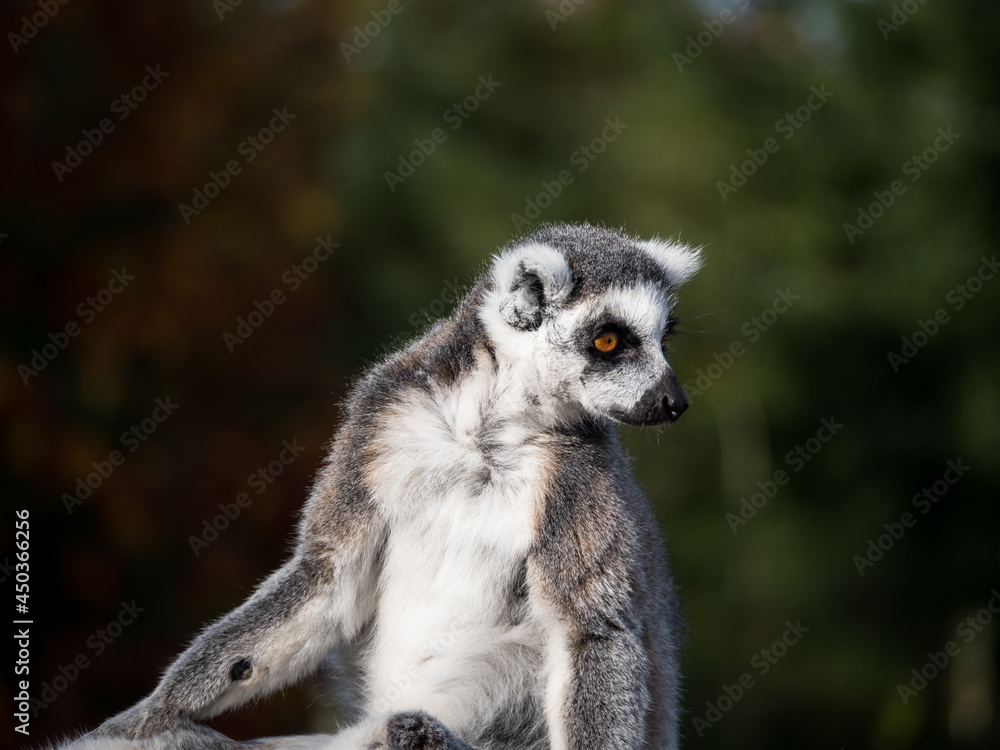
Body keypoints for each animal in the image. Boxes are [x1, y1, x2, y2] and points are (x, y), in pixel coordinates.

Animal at [61, 222, 702, 750]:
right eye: (609, 341)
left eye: (662, 339)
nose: (673, 402)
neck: (487, 430)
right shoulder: (381, 419)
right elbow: (329, 574)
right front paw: (147, 718)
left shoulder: (577, 479)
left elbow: (592, 630)